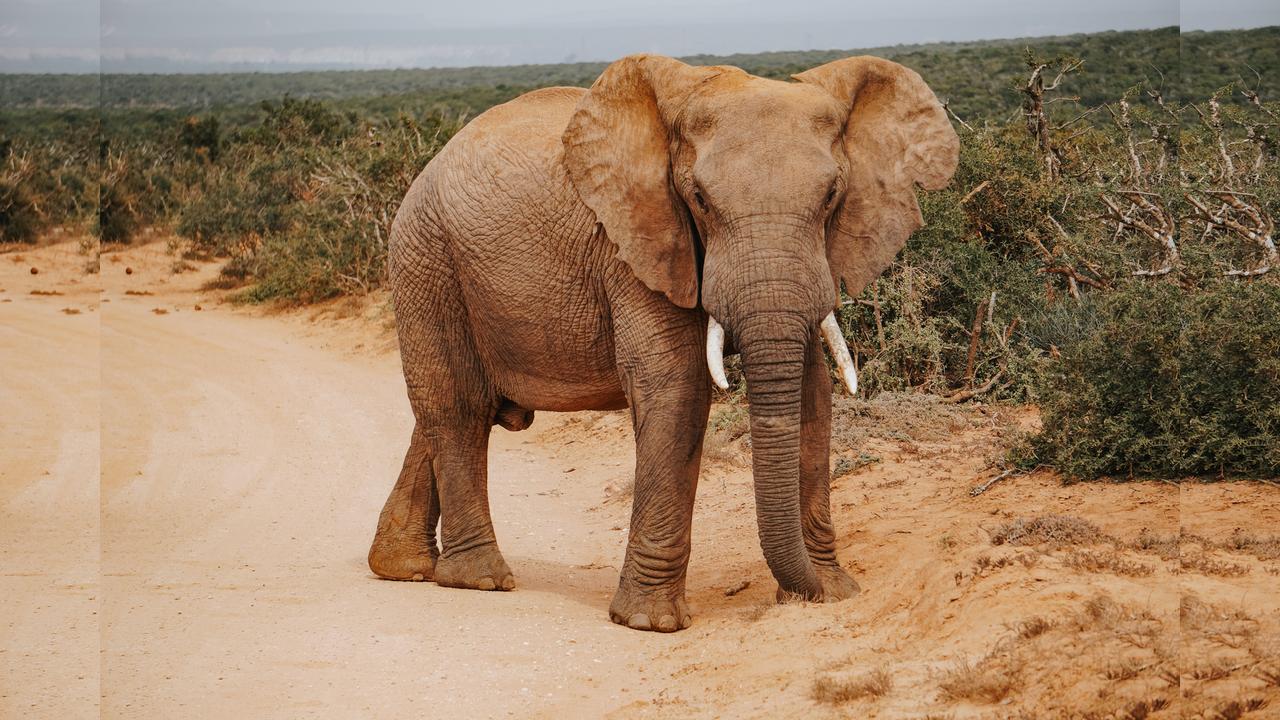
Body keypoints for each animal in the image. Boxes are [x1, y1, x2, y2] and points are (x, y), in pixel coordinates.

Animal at [367, 53, 958, 632]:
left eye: (832, 195)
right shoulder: (637, 240)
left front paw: (833, 591)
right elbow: (676, 384)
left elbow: (813, 388)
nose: (806, 591)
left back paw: (402, 567)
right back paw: (479, 579)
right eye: (699, 199)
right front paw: (650, 622)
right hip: (426, 257)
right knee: (458, 407)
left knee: (457, 411)